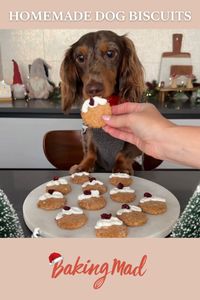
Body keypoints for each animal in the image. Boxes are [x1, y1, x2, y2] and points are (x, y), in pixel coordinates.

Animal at [59, 30, 145, 173]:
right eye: (80, 58)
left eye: (110, 53)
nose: (93, 89)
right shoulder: (88, 131)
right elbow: (90, 150)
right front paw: (84, 165)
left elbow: (124, 152)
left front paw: (121, 167)